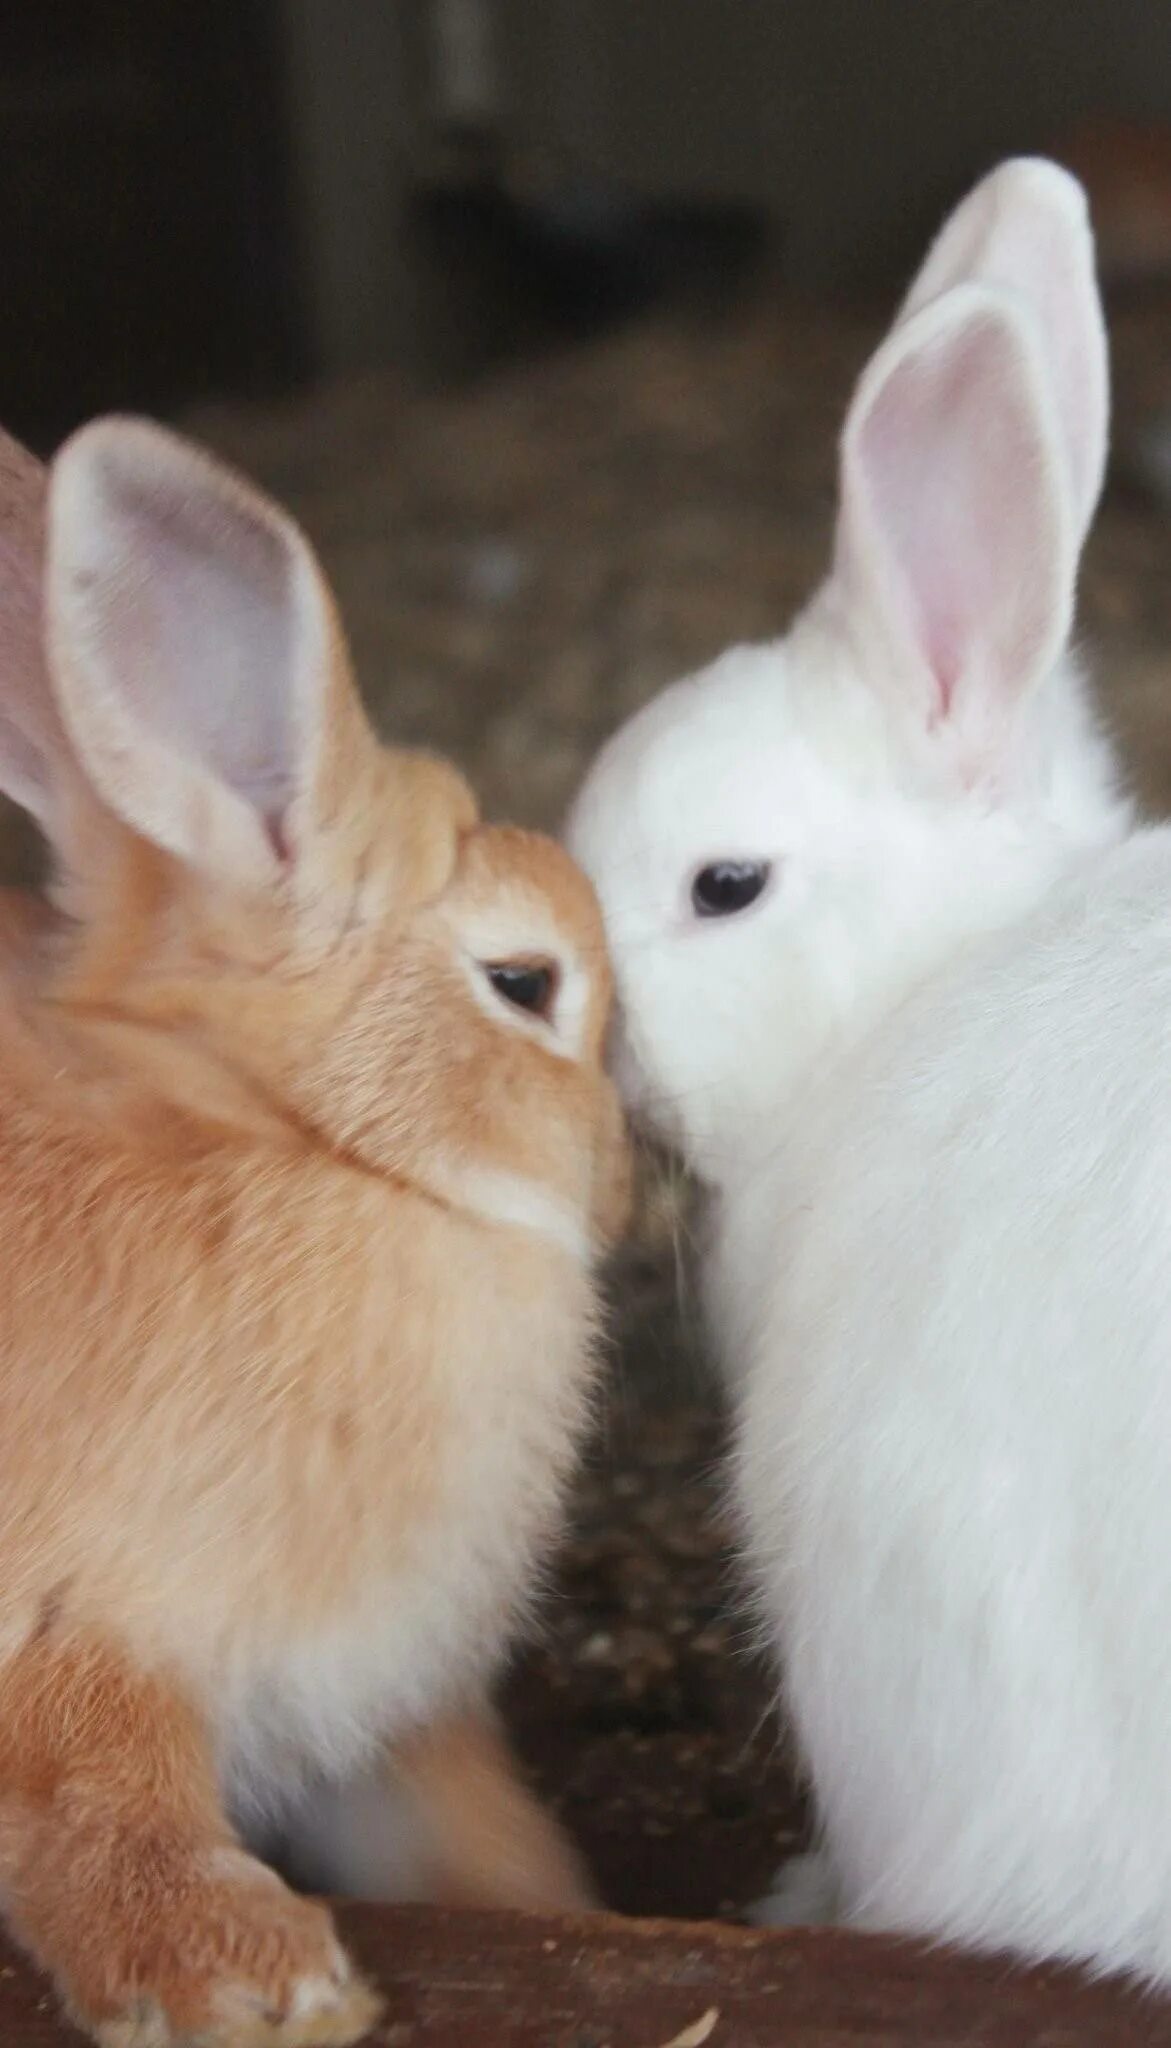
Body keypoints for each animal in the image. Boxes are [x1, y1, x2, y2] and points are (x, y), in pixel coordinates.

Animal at [0, 414, 630, 2048]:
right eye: (526, 981)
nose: (615, 1177)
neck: (302, 1151)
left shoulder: (378, 1722)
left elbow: (478, 1846)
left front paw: (571, 1915)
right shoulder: (79, 1633)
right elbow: (101, 1791)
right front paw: (242, 1979)